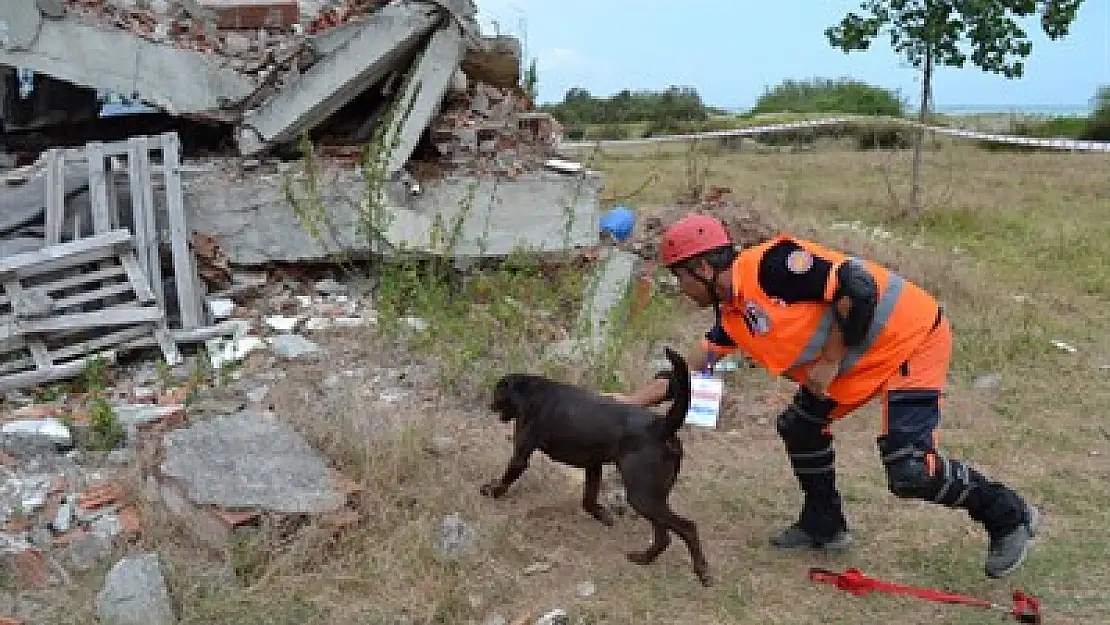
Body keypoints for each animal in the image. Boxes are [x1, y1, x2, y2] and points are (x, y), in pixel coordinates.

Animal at [479, 346, 710, 586]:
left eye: (496, 393)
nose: (489, 405)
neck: (529, 392)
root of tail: (662, 426)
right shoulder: (593, 466)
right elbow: (588, 501)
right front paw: (603, 515)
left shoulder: (520, 456)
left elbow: (506, 478)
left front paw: (492, 490)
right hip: (654, 498)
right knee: (664, 537)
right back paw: (643, 558)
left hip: (642, 497)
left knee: (687, 528)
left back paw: (701, 571)